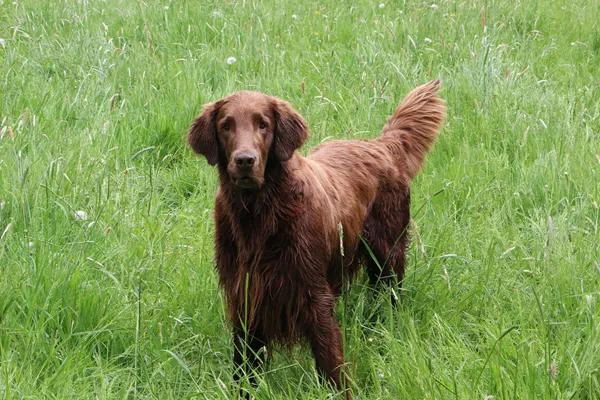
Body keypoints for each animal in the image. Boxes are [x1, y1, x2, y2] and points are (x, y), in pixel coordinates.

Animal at [188, 80, 446, 396]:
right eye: (226, 125)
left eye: (263, 124)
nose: (245, 161)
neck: (261, 214)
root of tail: (380, 144)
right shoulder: (245, 291)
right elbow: (244, 360)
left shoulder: (313, 291)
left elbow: (328, 356)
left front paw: (339, 392)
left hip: (388, 252)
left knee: (390, 293)